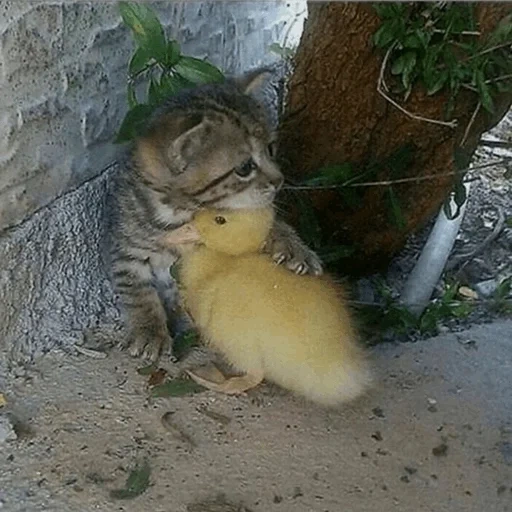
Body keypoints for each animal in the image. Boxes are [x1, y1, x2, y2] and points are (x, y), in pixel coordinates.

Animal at [109, 68, 320, 362]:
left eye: (270, 148)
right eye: (245, 167)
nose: (279, 180)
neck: (184, 210)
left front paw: (293, 247)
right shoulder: (127, 248)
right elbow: (135, 289)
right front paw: (148, 330)